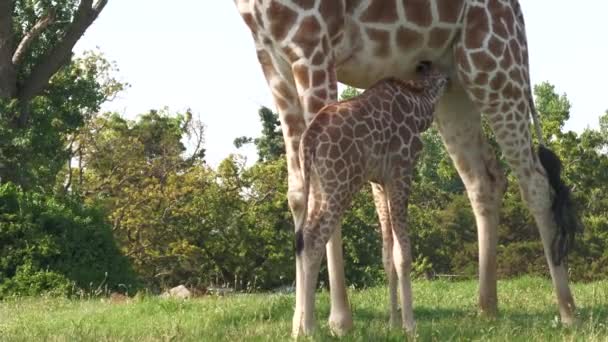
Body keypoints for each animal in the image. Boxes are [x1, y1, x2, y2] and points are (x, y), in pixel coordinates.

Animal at [296, 61, 452, 334]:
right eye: (441, 70)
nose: (452, 78)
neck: (419, 106)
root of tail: (310, 139)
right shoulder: (401, 171)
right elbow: (403, 254)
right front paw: (410, 326)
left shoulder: (378, 183)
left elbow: (387, 255)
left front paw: (393, 324)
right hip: (338, 185)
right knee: (314, 239)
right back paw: (310, 329)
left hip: (317, 186)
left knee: (305, 236)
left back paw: (303, 328)